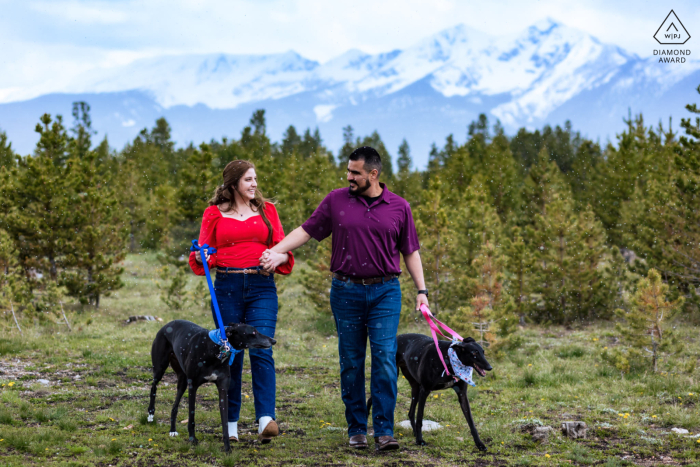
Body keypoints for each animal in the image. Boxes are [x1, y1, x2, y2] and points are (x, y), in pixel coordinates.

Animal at [148, 320, 276, 452]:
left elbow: (225, 421)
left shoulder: (223, 388)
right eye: (253, 332)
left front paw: (227, 448)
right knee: (153, 386)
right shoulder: (193, 386)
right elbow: (191, 416)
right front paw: (192, 439)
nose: (273, 341)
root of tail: (168, 324)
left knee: (174, 406)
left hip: (182, 380)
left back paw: (172, 430)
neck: (217, 348)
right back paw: (151, 414)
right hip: (160, 368)